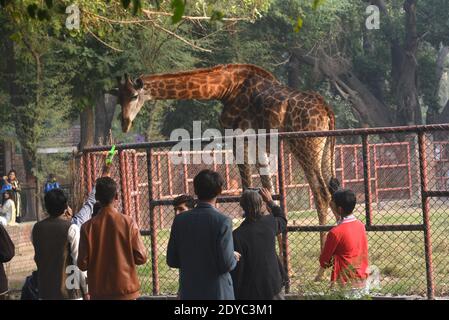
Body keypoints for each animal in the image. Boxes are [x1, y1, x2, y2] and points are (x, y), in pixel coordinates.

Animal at [117, 64, 338, 245]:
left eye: (134, 96)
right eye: (118, 97)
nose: (124, 123)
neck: (226, 88)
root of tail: (327, 111)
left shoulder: (238, 138)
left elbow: (247, 190)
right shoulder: (259, 145)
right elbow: (269, 192)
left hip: (305, 146)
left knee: (322, 194)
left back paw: (323, 267)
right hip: (325, 147)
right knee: (332, 190)